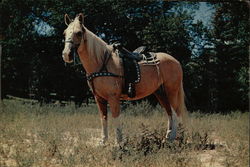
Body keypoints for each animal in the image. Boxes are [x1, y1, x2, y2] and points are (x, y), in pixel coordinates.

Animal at [62, 13, 187, 145]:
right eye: (64, 33)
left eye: (79, 33)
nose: (66, 55)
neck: (102, 62)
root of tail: (176, 61)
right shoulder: (99, 98)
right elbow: (103, 118)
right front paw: (103, 141)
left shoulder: (113, 97)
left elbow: (116, 118)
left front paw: (118, 143)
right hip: (161, 93)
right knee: (169, 113)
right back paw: (166, 138)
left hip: (171, 92)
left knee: (175, 113)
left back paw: (172, 139)